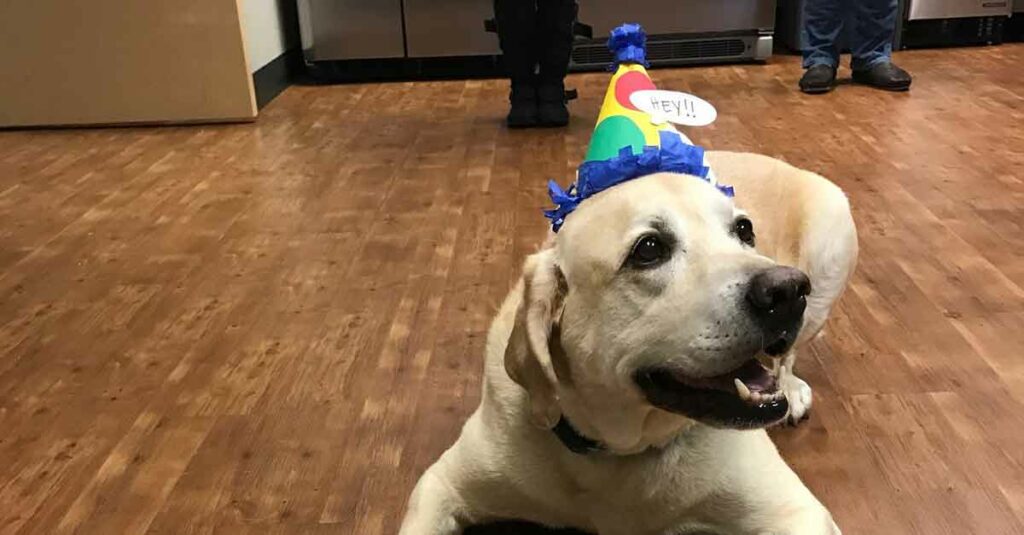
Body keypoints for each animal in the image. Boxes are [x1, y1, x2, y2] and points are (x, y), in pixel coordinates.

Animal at [399, 149, 856, 532]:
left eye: (744, 230)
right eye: (649, 249)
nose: (788, 291)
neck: (620, 450)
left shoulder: (795, 511)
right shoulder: (440, 484)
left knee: (789, 358)